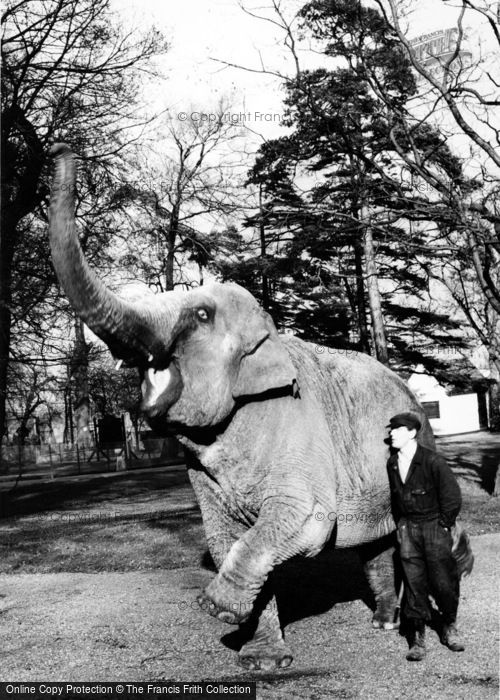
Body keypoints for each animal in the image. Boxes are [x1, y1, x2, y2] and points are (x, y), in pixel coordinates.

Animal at [48, 141, 436, 668]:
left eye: (201, 314)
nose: (59, 148)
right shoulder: (202, 474)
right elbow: (225, 536)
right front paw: (260, 656)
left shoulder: (298, 428)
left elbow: (307, 521)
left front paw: (214, 606)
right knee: (374, 547)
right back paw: (383, 621)